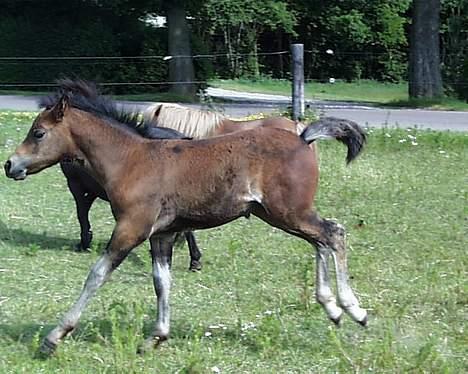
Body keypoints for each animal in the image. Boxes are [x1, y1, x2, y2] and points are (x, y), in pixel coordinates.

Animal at [4, 92, 370, 356]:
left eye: (38, 133)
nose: (10, 164)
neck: (131, 160)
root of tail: (304, 137)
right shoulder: (162, 236)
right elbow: (161, 282)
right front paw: (156, 337)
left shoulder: (131, 229)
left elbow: (96, 275)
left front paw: (54, 336)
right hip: (282, 214)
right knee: (321, 239)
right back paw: (332, 308)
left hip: (289, 212)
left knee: (333, 234)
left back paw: (353, 309)